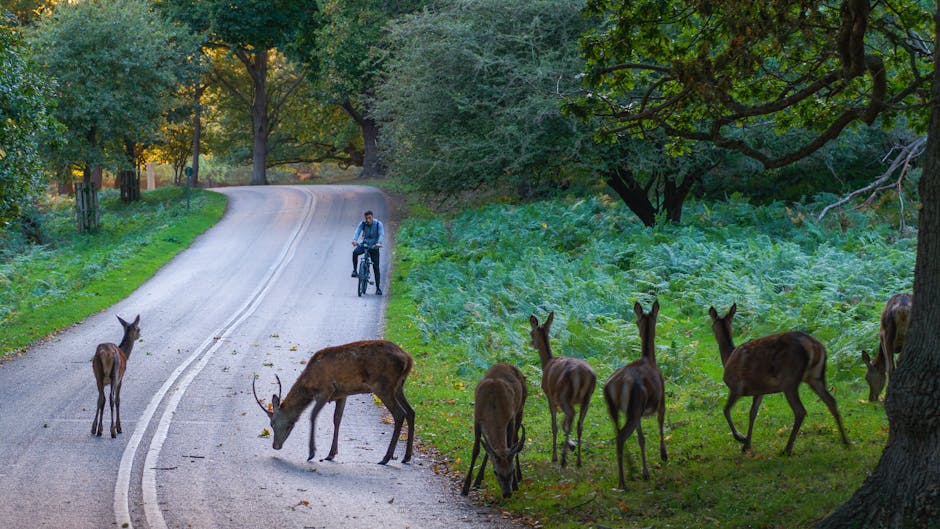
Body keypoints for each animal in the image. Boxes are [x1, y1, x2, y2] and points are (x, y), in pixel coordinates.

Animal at [252, 339, 415, 465]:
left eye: (272, 424)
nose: (275, 446)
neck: (309, 385)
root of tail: (408, 359)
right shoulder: (341, 395)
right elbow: (337, 419)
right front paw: (331, 454)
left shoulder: (326, 390)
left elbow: (312, 416)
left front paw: (312, 453)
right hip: (398, 387)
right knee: (411, 412)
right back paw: (406, 457)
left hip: (383, 386)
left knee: (400, 413)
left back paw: (386, 458)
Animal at [461, 363, 527, 499]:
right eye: (496, 472)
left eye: (511, 470)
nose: (507, 493)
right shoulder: (477, 418)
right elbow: (476, 449)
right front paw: (466, 487)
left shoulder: (511, 418)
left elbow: (511, 444)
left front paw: (515, 484)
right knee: (490, 448)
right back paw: (477, 481)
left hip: (521, 408)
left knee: (516, 440)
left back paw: (520, 476)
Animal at [529, 312, 597, 468]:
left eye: (531, 333)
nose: (531, 344)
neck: (546, 363)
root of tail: (583, 375)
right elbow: (564, 423)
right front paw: (571, 445)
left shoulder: (549, 395)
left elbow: (555, 425)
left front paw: (555, 456)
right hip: (587, 398)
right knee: (579, 424)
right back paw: (578, 460)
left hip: (564, 395)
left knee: (571, 416)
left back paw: (563, 458)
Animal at [603, 300, 667, 489]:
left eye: (638, 321)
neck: (650, 360)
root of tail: (613, 385)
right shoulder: (662, 399)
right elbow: (660, 423)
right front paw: (664, 455)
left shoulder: (639, 412)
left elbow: (641, 439)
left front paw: (645, 471)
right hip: (634, 407)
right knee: (620, 437)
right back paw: (623, 482)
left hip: (616, 408)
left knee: (617, 434)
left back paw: (630, 472)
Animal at [708, 303, 849, 455]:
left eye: (712, 324)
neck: (728, 357)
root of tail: (814, 346)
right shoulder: (759, 391)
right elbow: (752, 414)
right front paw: (747, 444)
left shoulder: (736, 386)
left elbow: (725, 410)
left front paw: (740, 437)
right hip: (816, 376)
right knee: (831, 401)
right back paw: (846, 441)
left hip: (789, 379)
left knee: (800, 410)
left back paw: (787, 449)